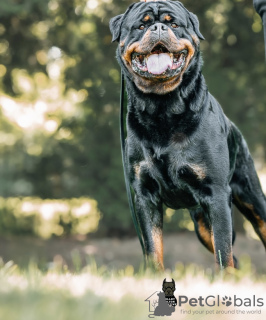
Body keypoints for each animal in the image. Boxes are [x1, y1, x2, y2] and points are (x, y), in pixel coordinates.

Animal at [108, 0, 266, 272]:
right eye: (141, 26)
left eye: (173, 24)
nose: (158, 28)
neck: (162, 108)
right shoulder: (144, 193)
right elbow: (153, 246)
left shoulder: (216, 193)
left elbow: (223, 251)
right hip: (202, 223)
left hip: (251, 197)